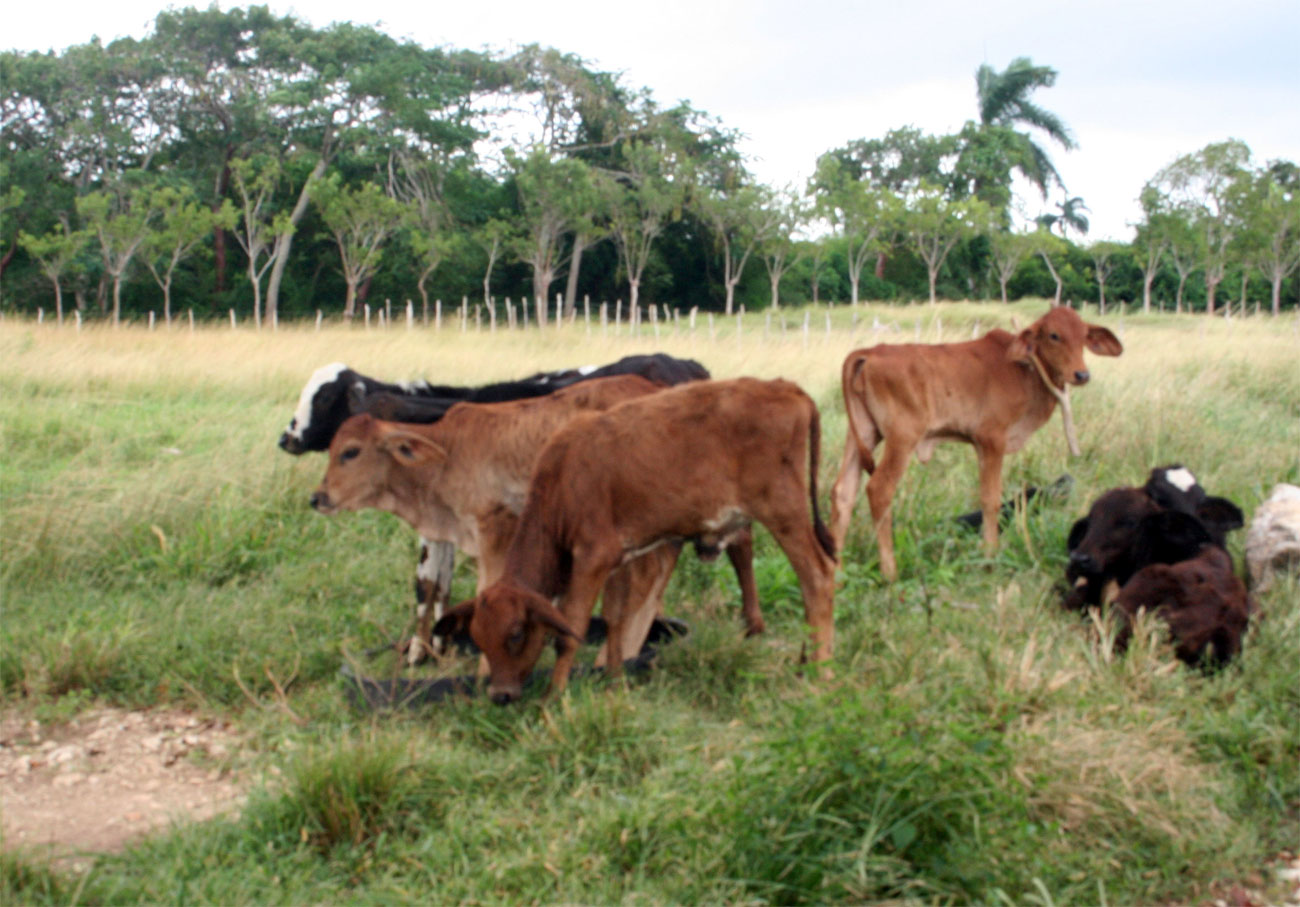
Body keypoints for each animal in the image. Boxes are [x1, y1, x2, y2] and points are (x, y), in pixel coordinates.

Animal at [436, 374, 837, 701]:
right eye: (479, 639)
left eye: (517, 634)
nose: (500, 695)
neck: (564, 478)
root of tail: (786, 388)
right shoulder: (617, 558)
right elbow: (615, 618)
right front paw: (614, 682)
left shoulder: (591, 558)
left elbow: (572, 628)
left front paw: (553, 697)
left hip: (784, 512)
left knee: (816, 577)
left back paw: (820, 672)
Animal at [826, 305, 1123, 579]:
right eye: (1054, 335)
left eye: (1083, 335)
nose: (1081, 374)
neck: (1026, 369)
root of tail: (869, 352)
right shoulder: (991, 439)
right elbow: (990, 499)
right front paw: (990, 554)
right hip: (902, 439)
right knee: (879, 490)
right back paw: (890, 572)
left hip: (863, 434)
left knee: (843, 492)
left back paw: (836, 572)